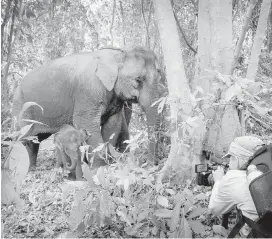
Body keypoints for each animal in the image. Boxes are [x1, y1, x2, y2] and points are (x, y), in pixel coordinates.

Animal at [12, 47, 162, 170]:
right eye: (138, 79)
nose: (150, 165)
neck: (118, 54)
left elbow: (112, 125)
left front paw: (107, 164)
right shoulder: (87, 92)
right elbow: (85, 122)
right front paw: (99, 169)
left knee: (36, 138)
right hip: (22, 108)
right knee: (28, 138)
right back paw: (29, 170)